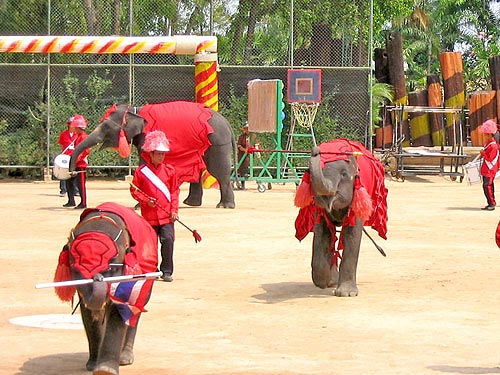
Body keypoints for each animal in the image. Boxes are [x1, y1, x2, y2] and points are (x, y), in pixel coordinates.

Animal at [54, 203, 158, 375]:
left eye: (111, 268)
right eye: (76, 270)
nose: (98, 278)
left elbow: (119, 309)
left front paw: (105, 370)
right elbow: (88, 312)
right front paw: (92, 366)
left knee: (136, 309)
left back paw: (125, 358)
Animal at [69, 101, 238, 210]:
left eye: (106, 126)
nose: (71, 172)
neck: (134, 111)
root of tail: (228, 124)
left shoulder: (147, 136)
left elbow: (146, 164)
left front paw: (138, 207)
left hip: (217, 142)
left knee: (218, 171)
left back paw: (224, 206)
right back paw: (190, 203)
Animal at [294, 140, 388, 298]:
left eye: (344, 174)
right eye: (309, 172)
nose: (315, 150)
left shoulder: (356, 199)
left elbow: (352, 235)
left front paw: (346, 294)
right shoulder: (319, 209)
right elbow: (322, 234)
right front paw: (323, 282)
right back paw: (332, 280)